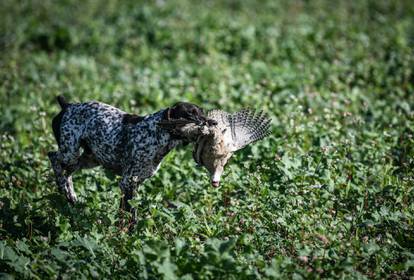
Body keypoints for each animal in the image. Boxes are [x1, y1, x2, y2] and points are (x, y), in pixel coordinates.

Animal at [47, 95, 212, 213]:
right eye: (190, 114)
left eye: (202, 112)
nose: (213, 123)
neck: (157, 133)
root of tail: (68, 105)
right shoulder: (127, 182)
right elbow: (131, 213)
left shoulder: (133, 184)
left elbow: (125, 210)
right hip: (70, 153)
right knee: (53, 157)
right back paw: (61, 186)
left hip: (88, 159)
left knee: (68, 173)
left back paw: (71, 196)